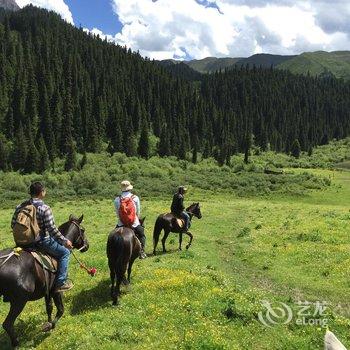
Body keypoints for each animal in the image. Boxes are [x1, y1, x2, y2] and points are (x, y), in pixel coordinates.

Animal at [0, 213, 87, 348]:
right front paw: (49, 326)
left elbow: (49, 308)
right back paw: (16, 343)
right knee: (8, 324)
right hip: (19, 300)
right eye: (82, 230)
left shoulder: (47, 290)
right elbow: (61, 310)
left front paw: (49, 322)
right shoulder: (56, 290)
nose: (87, 246)